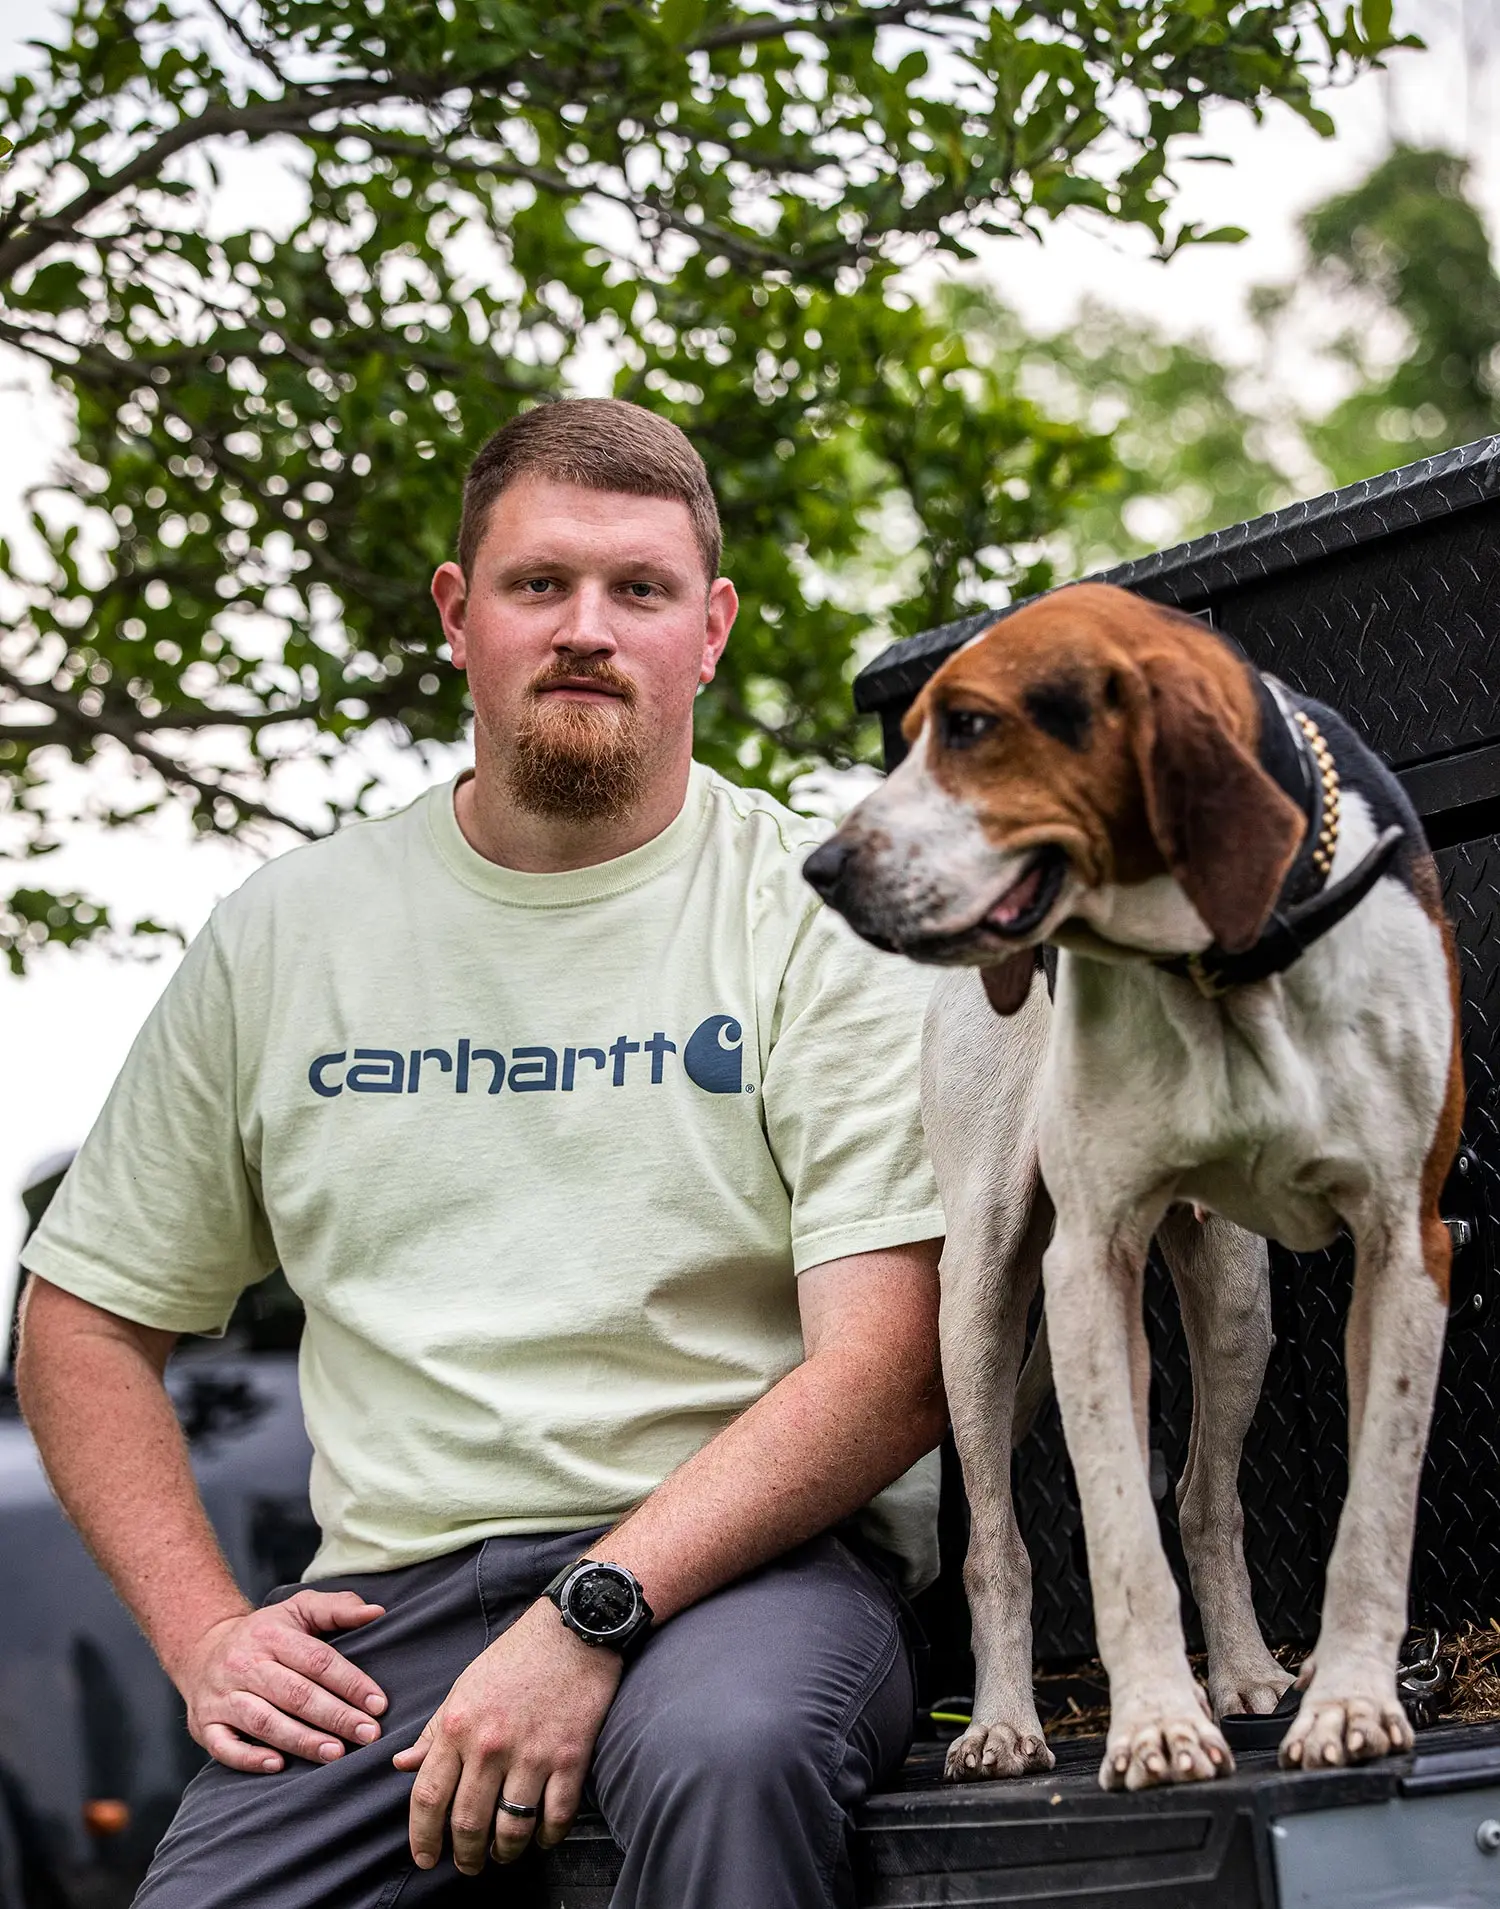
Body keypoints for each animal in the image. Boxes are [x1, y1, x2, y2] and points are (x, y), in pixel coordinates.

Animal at [805, 576, 1458, 1786]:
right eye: (914, 733)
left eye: (972, 726)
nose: (823, 870)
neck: (1221, 962)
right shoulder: (1087, 1264)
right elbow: (1113, 1533)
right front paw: (1156, 1723)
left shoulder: (1409, 1242)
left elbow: (1374, 1512)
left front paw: (1349, 1703)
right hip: (979, 1298)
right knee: (999, 1544)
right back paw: (1004, 1722)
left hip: (1238, 1298)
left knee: (1204, 1498)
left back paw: (1246, 1669)